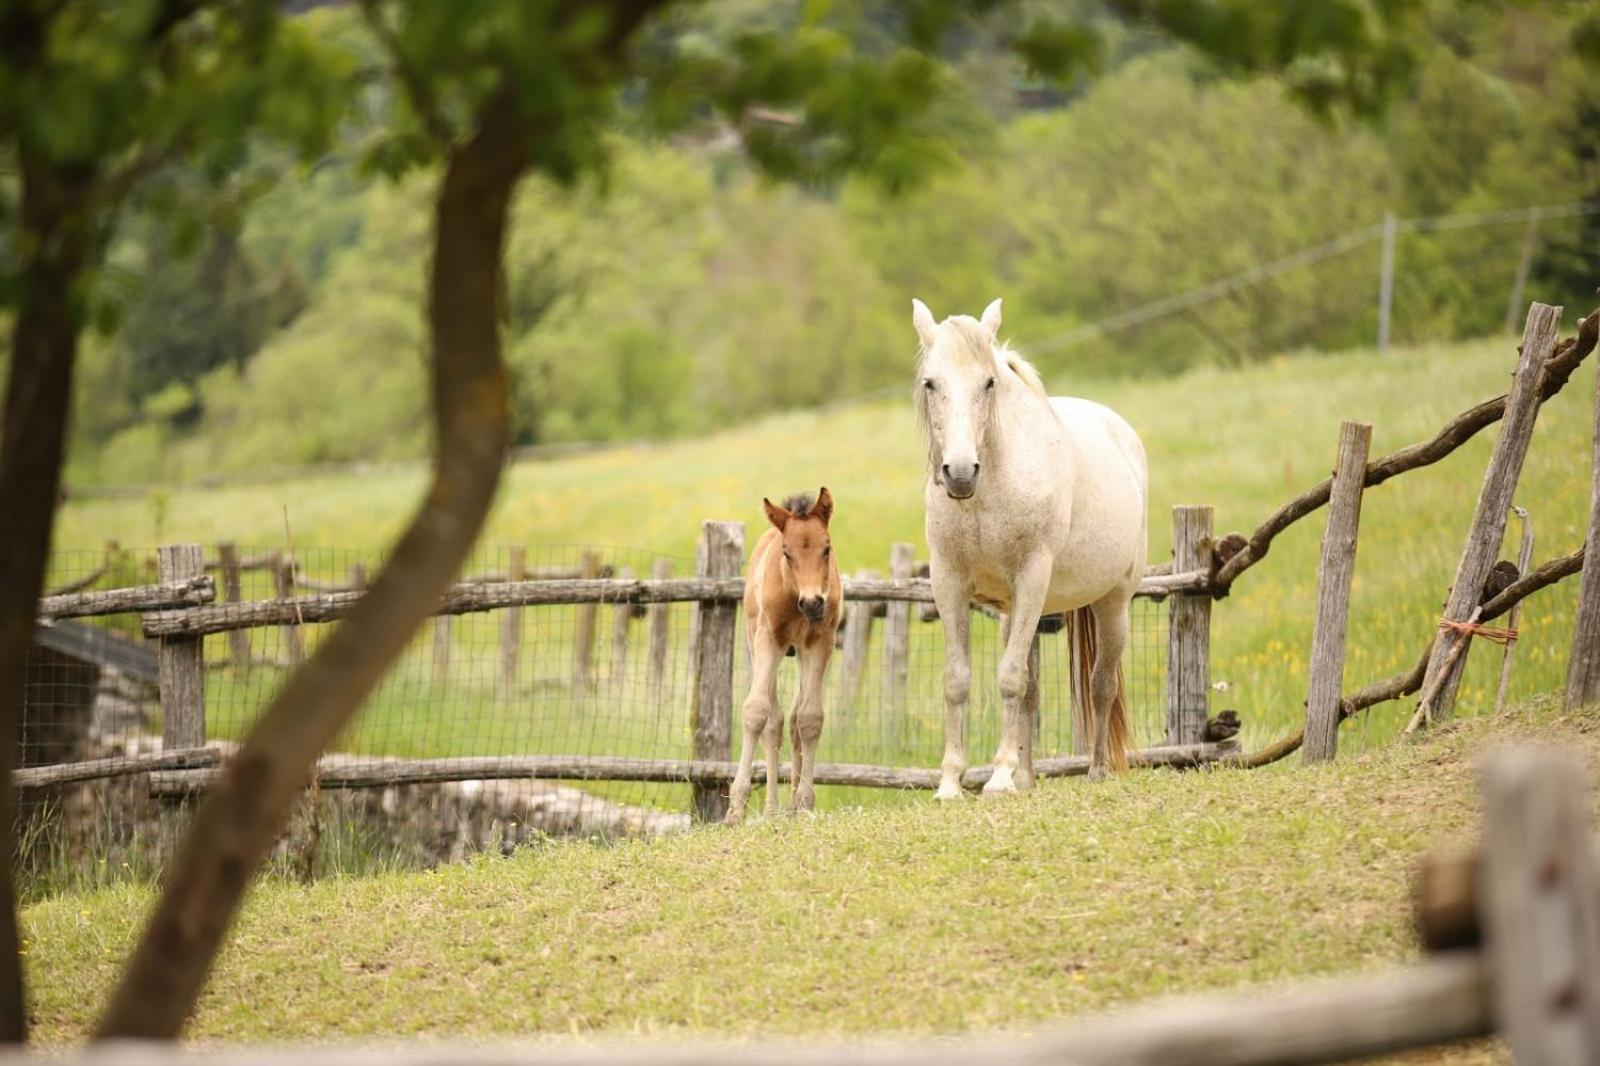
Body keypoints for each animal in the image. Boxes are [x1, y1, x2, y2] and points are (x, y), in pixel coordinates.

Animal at [915, 294, 1152, 793]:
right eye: (931, 383)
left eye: (988, 382)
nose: (959, 473)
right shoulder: (948, 583)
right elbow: (960, 680)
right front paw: (952, 781)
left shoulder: (1032, 578)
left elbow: (1009, 677)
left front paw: (998, 778)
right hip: (1019, 612)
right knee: (1033, 691)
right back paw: (1026, 778)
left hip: (1113, 602)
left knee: (1101, 684)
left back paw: (1095, 770)